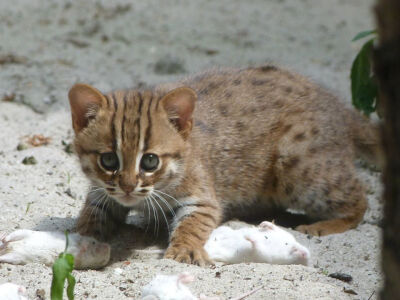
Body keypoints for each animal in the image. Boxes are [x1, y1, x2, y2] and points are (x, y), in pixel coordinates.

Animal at [69, 65, 382, 264]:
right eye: (108, 159)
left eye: (150, 161)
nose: (127, 188)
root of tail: (339, 107)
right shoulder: (102, 191)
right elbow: (92, 212)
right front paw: (82, 236)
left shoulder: (203, 198)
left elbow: (192, 225)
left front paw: (184, 249)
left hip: (300, 170)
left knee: (360, 198)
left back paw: (326, 224)